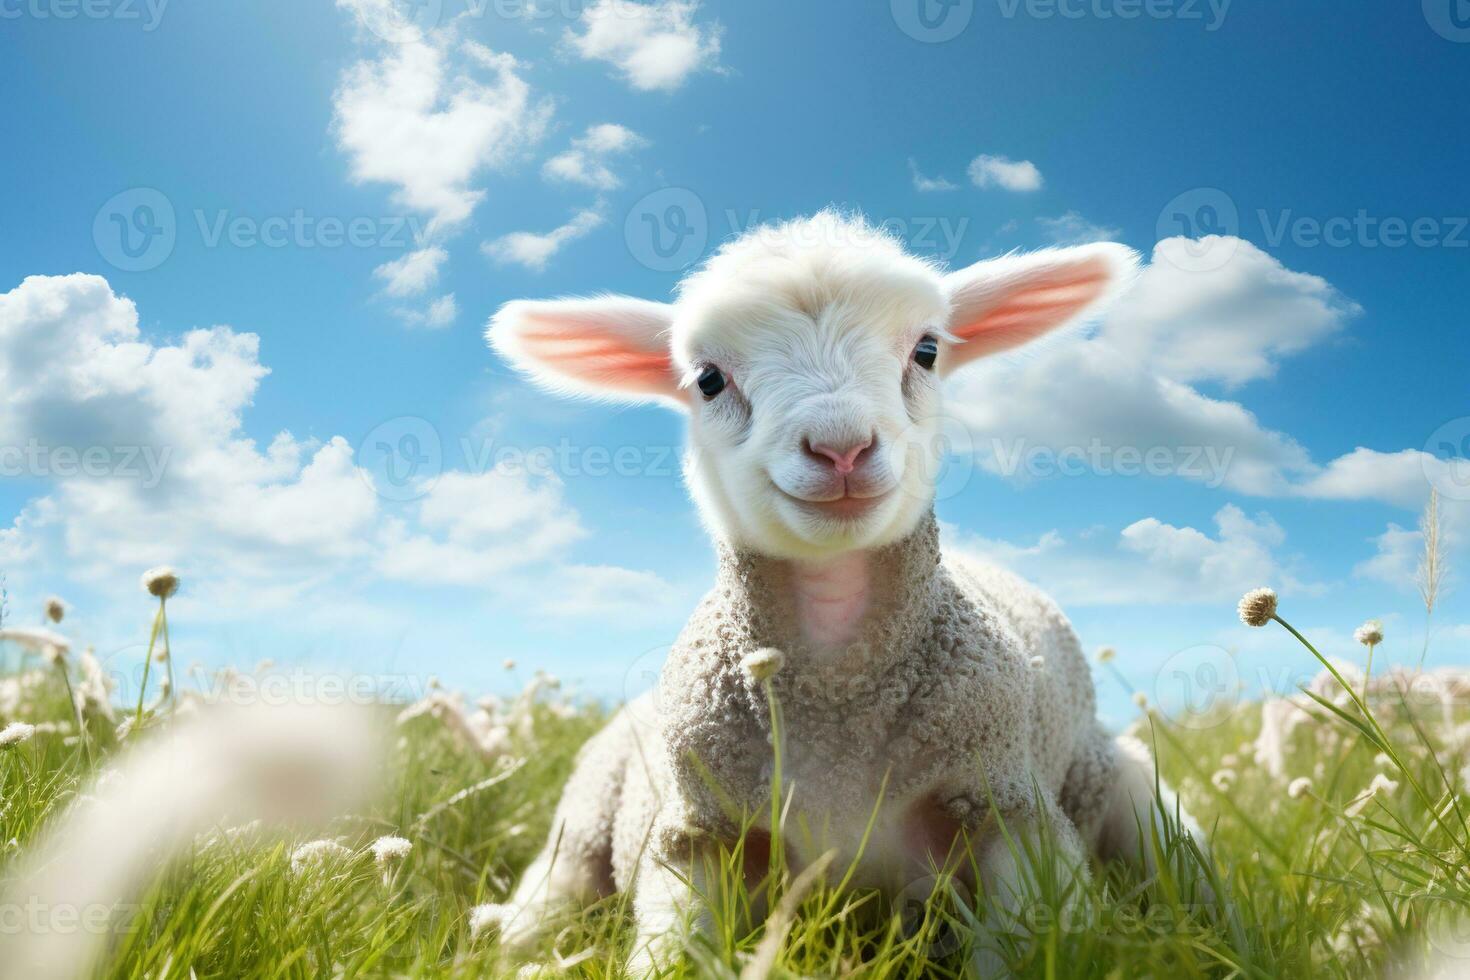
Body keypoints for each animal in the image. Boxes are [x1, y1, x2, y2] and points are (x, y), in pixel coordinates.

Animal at [482, 213, 1205, 975]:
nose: (841, 448)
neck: (838, 716)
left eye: (926, 350)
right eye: (708, 379)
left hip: (1135, 796)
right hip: (581, 827)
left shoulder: (1010, 807)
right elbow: (675, 951)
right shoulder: (697, 832)